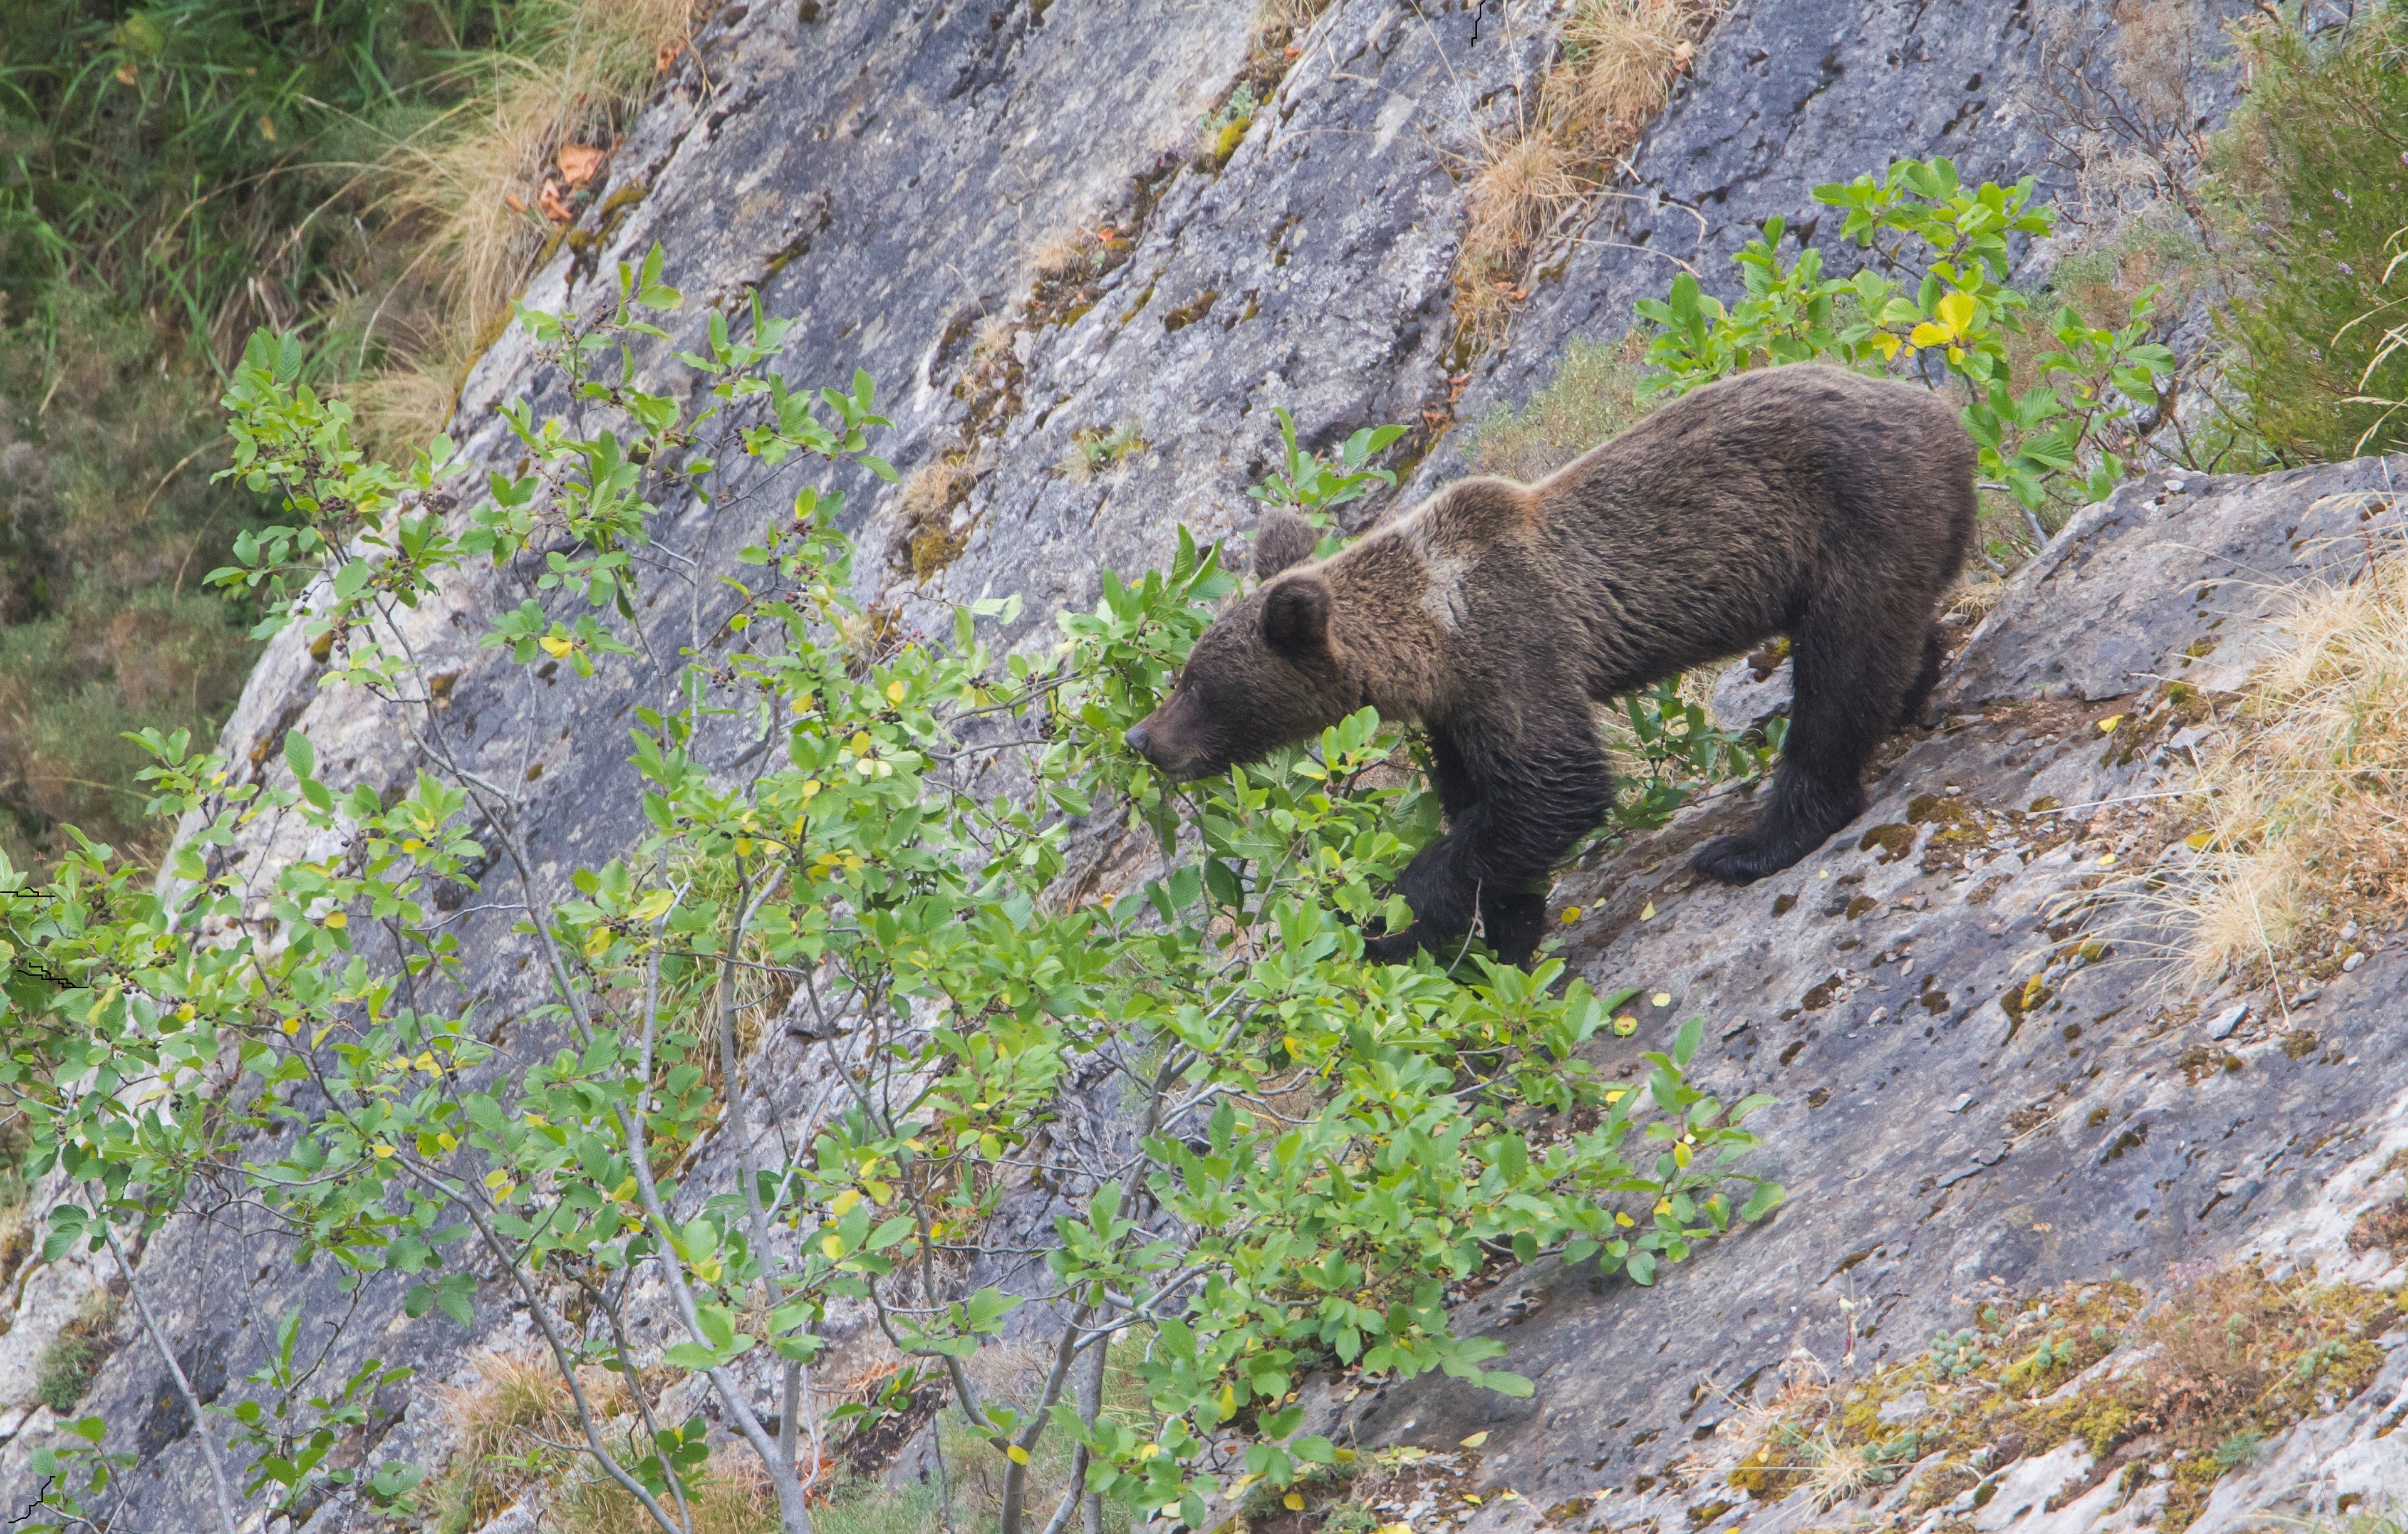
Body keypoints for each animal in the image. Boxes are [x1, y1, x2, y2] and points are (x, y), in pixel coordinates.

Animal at [1126, 361, 1975, 958]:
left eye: (1196, 683)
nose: (1142, 738)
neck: (1431, 630)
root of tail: (1944, 413)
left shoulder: (1516, 646)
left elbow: (1555, 788)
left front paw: (1385, 920)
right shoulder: (1459, 711)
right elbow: (1494, 814)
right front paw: (1500, 934)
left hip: (1859, 514)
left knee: (1839, 672)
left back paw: (1753, 843)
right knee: (1887, 647)